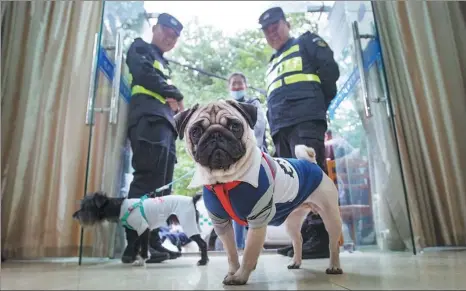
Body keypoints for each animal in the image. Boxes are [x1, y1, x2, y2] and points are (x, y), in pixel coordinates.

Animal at [73, 192, 209, 266]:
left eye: (86, 207)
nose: (74, 215)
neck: (119, 207)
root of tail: (192, 199)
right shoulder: (136, 231)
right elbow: (135, 245)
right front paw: (135, 259)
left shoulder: (143, 229)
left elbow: (142, 247)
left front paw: (142, 260)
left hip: (189, 224)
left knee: (203, 244)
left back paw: (203, 261)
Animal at [175, 100, 342, 286]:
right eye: (196, 131)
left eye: (235, 126)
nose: (216, 134)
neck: (225, 180)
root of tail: (312, 164)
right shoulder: (222, 223)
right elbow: (231, 253)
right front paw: (232, 272)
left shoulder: (257, 219)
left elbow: (249, 253)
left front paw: (240, 277)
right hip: (292, 221)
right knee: (298, 239)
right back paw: (296, 262)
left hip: (330, 215)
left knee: (333, 243)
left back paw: (334, 266)